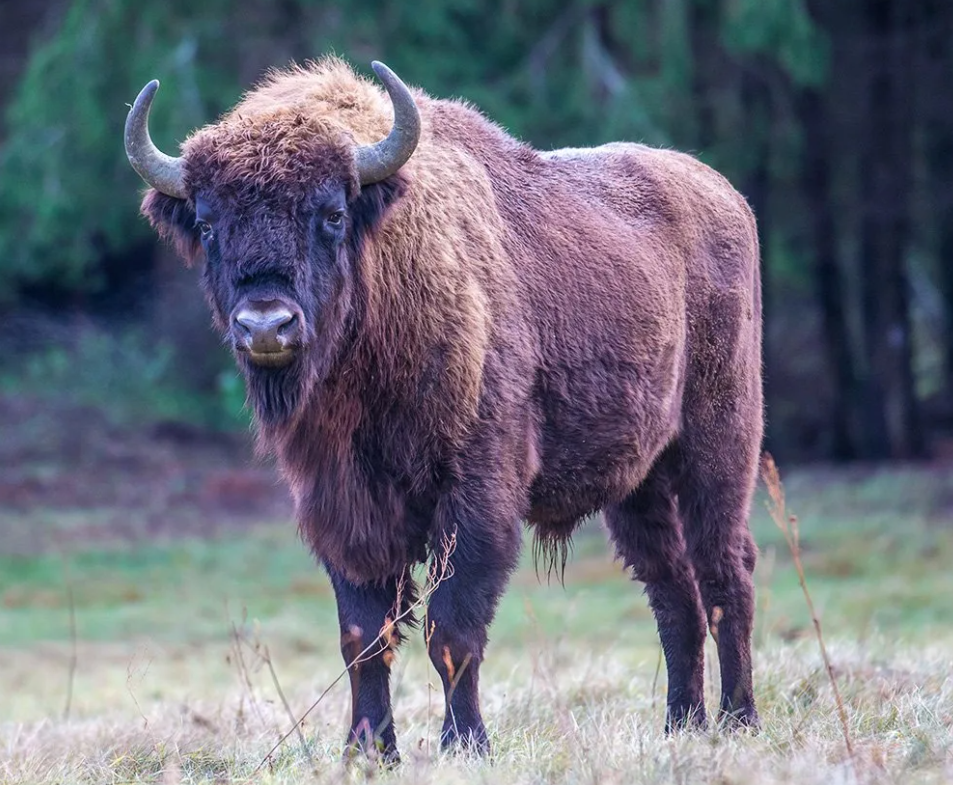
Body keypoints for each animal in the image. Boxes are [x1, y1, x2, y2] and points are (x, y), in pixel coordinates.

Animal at [126, 58, 764, 756]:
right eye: (208, 224)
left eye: (330, 213)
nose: (266, 325)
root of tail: (724, 196)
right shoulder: (344, 506)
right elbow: (363, 637)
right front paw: (368, 750)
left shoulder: (476, 497)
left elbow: (452, 631)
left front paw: (465, 744)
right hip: (637, 484)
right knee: (672, 590)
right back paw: (682, 725)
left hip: (719, 446)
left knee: (725, 573)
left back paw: (740, 720)